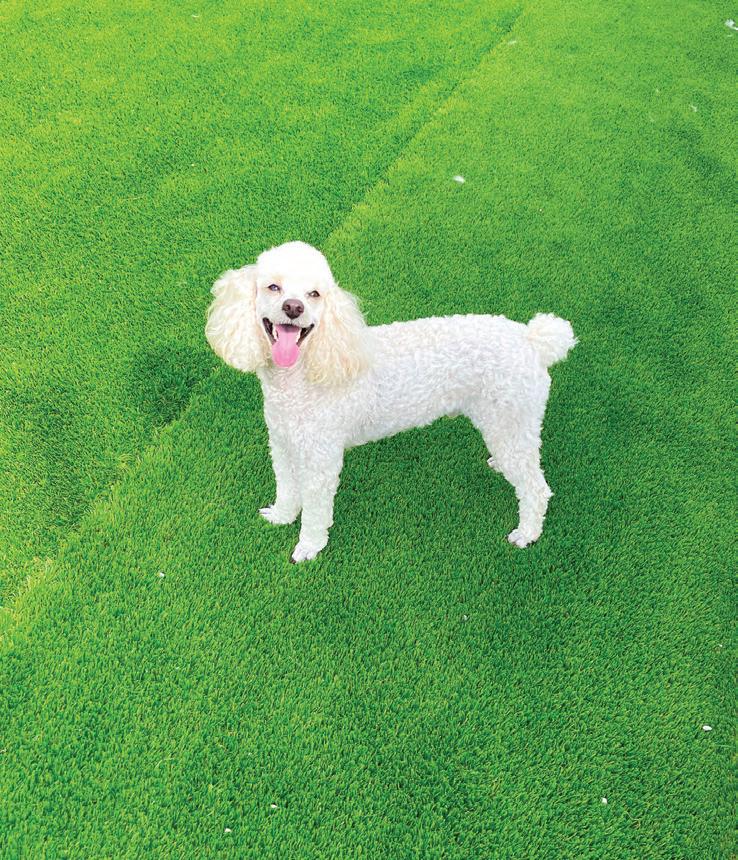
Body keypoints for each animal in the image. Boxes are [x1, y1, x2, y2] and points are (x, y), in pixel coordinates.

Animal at [206, 241, 576, 562]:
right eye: (273, 287)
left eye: (314, 294)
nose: (293, 308)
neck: (304, 372)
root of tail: (531, 340)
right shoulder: (283, 443)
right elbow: (285, 486)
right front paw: (282, 516)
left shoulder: (321, 458)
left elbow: (315, 509)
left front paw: (309, 547)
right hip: (504, 421)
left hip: (512, 415)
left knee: (536, 487)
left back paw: (527, 533)